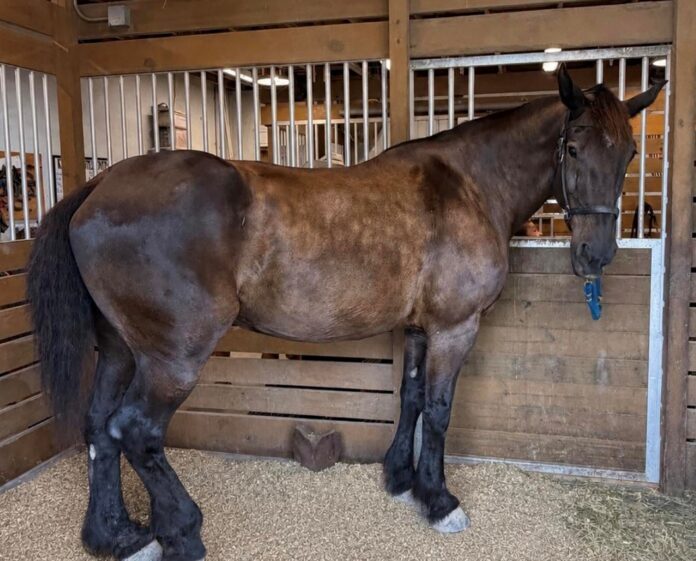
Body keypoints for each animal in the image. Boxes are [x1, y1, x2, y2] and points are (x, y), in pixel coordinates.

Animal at [27, 66, 663, 561]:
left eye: (630, 153)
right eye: (574, 148)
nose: (596, 255)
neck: (468, 185)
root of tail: (101, 185)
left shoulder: (419, 328)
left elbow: (410, 398)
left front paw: (402, 480)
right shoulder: (455, 328)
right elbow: (438, 411)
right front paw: (440, 501)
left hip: (117, 347)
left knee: (99, 428)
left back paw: (117, 536)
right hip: (172, 357)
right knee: (136, 431)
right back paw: (181, 530)